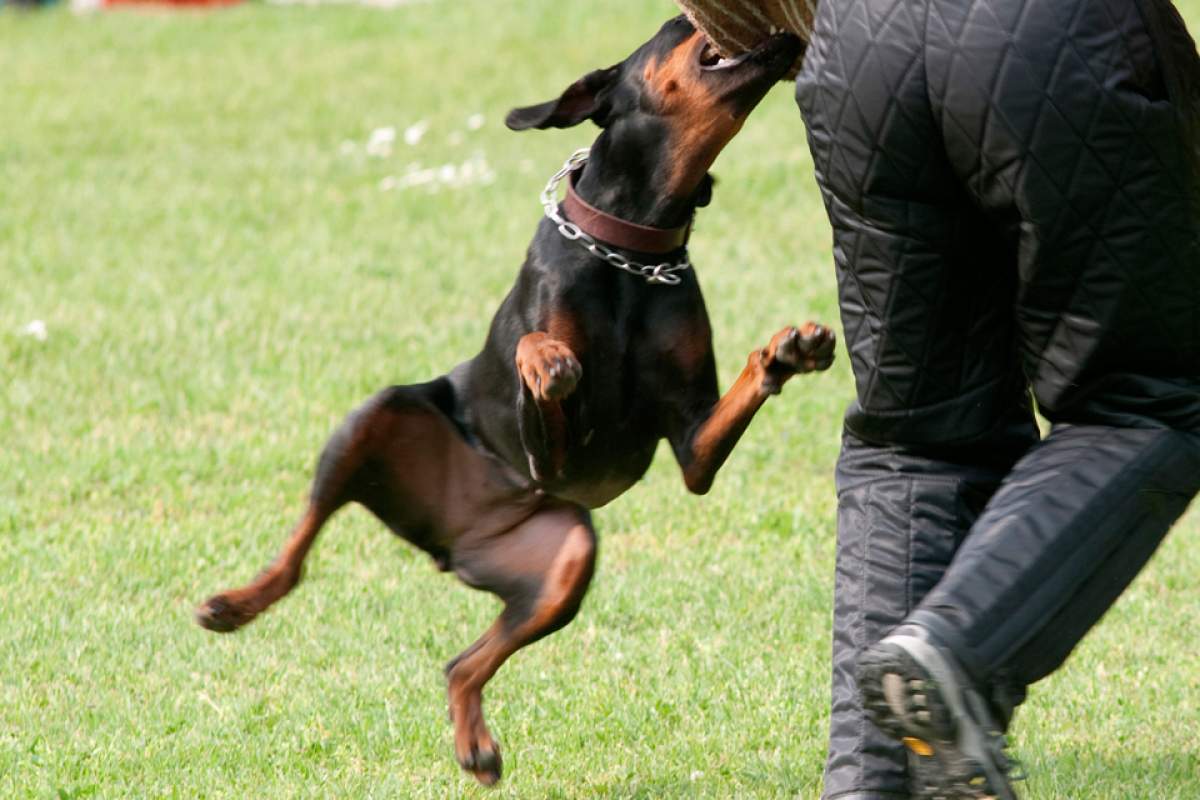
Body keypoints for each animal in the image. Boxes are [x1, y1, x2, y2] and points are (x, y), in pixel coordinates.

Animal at [199, 18, 835, 786]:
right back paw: (234, 605)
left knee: (460, 664)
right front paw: (548, 361)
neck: (633, 254)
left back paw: (476, 745)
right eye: (676, 28)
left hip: (563, 560)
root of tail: (451, 537)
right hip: (373, 418)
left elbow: (728, 410)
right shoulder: (546, 453)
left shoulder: (691, 450)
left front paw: (790, 351)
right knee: (298, 553)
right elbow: (539, 352)